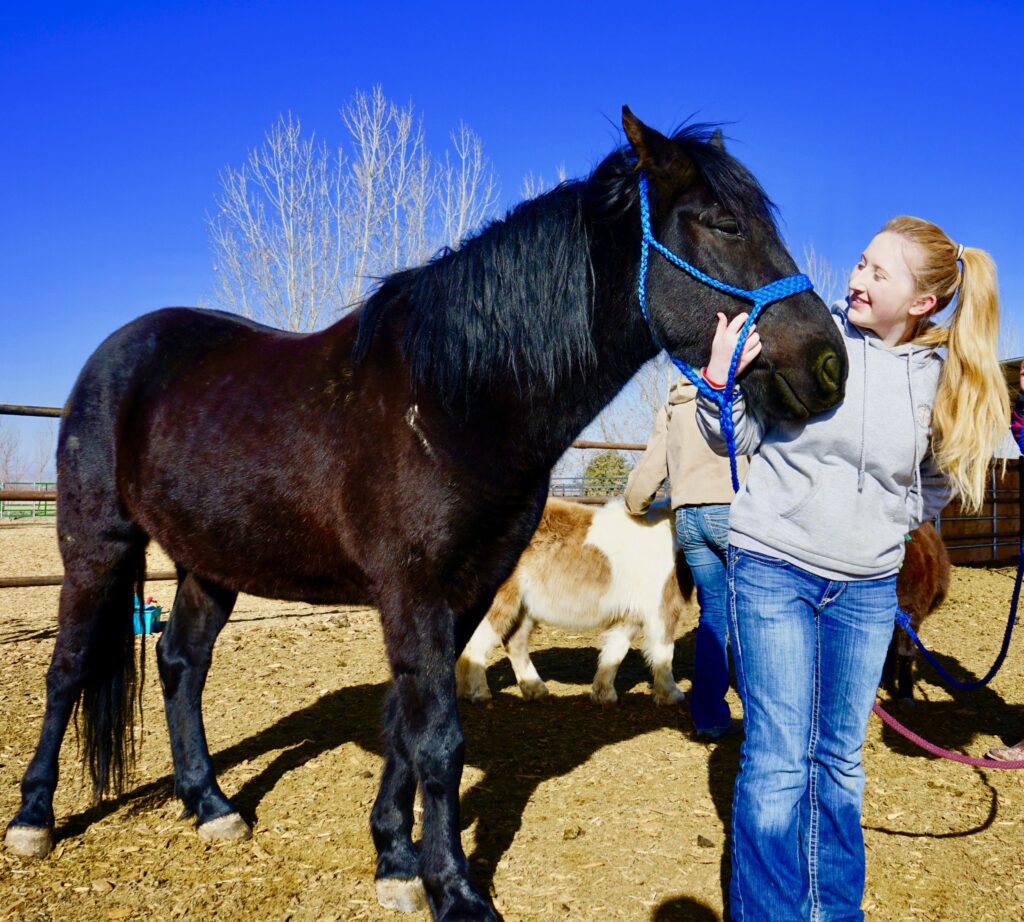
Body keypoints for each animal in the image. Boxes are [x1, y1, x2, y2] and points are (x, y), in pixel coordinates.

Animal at [460, 499, 692, 700]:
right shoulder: (663, 609)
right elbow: (664, 652)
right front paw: (672, 695)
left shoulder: (629, 616)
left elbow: (615, 652)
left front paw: (604, 694)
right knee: (475, 645)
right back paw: (479, 694)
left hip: (523, 608)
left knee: (515, 643)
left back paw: (536, 690)